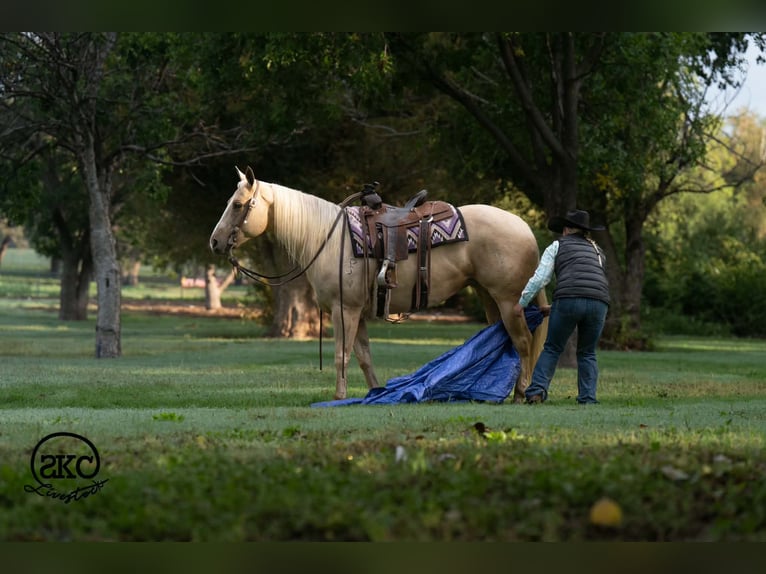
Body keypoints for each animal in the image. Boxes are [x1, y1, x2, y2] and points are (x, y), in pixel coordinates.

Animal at [209, 166, 548, 402]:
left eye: (238, 205)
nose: (215, 241)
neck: (329, 239)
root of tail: (524, 228)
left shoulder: (344, 310)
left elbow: (342, 354)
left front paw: (339, 397)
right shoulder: (356, 311)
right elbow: (363, 357)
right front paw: (375, 395)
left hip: (509, 300)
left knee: (523, 342)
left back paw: (521, 394)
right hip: (488, 297)